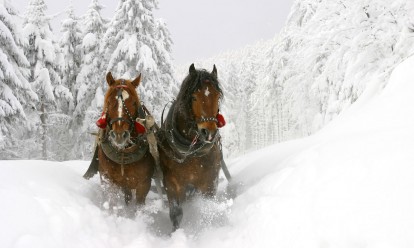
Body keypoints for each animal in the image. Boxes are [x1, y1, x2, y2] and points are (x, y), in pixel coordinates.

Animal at [85, 72, 155, 207]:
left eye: (134, 103)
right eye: (109, 101)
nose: (119, 135)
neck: (123, 153)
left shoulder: (144, 184)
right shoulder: (107, 179)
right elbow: (111, 201)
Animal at [158, 64, 226, 231]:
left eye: (217, 96)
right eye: (194, 97)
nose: (209, 132)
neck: (191, 152)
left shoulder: (209, 182)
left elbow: (207, 208)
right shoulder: (172, 183)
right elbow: (176, 213)